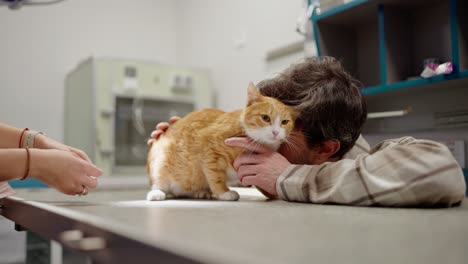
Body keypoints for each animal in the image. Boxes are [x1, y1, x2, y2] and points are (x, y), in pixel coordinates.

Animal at [145, 81, 296, 201]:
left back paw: (200, 192)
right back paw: (157, 193)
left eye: (284, 122)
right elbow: (215, 175)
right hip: (161, 164)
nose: (276, 132)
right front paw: (224, 193)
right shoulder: (210, 150)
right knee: (158, 183)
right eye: (265, 118)